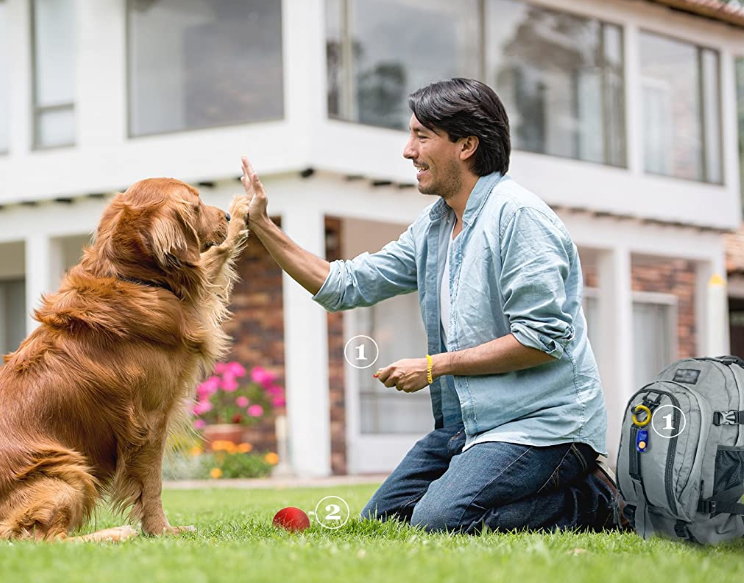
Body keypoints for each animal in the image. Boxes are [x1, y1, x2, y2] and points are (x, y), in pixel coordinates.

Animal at [0, 179, 250, 544]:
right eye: (196, 206)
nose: (226, 216)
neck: (130, 277)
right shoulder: (150, 420)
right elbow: (152, 484)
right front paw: (162, 530)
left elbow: (212, 258)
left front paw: (243, 211)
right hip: (68, 471)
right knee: (43, 539)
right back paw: (116, 533)